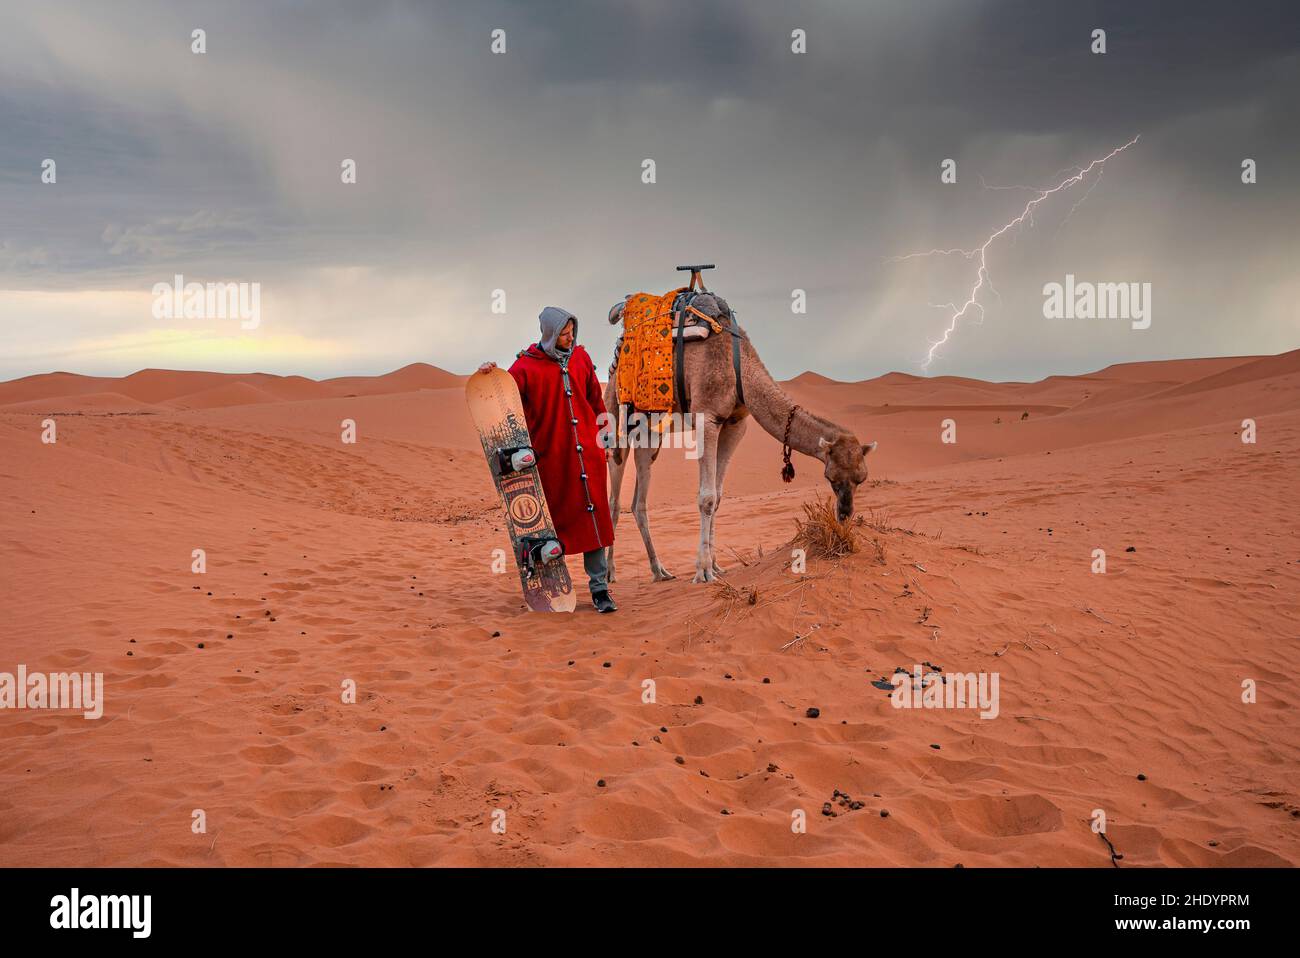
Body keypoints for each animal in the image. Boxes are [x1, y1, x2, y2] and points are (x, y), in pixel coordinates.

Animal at [605, 293, 878, 582]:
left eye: (861, 479)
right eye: (831, 477)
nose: (845, 514)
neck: (739, 368)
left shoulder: (736, 424)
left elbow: (718, 497)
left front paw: (716, 566)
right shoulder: (707, 416)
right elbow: (706, 497)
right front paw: (703, 571)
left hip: (650, 432)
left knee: (639, 502)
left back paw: (660, 571)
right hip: (616, 416)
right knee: (614, 499)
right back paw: (609, 573)